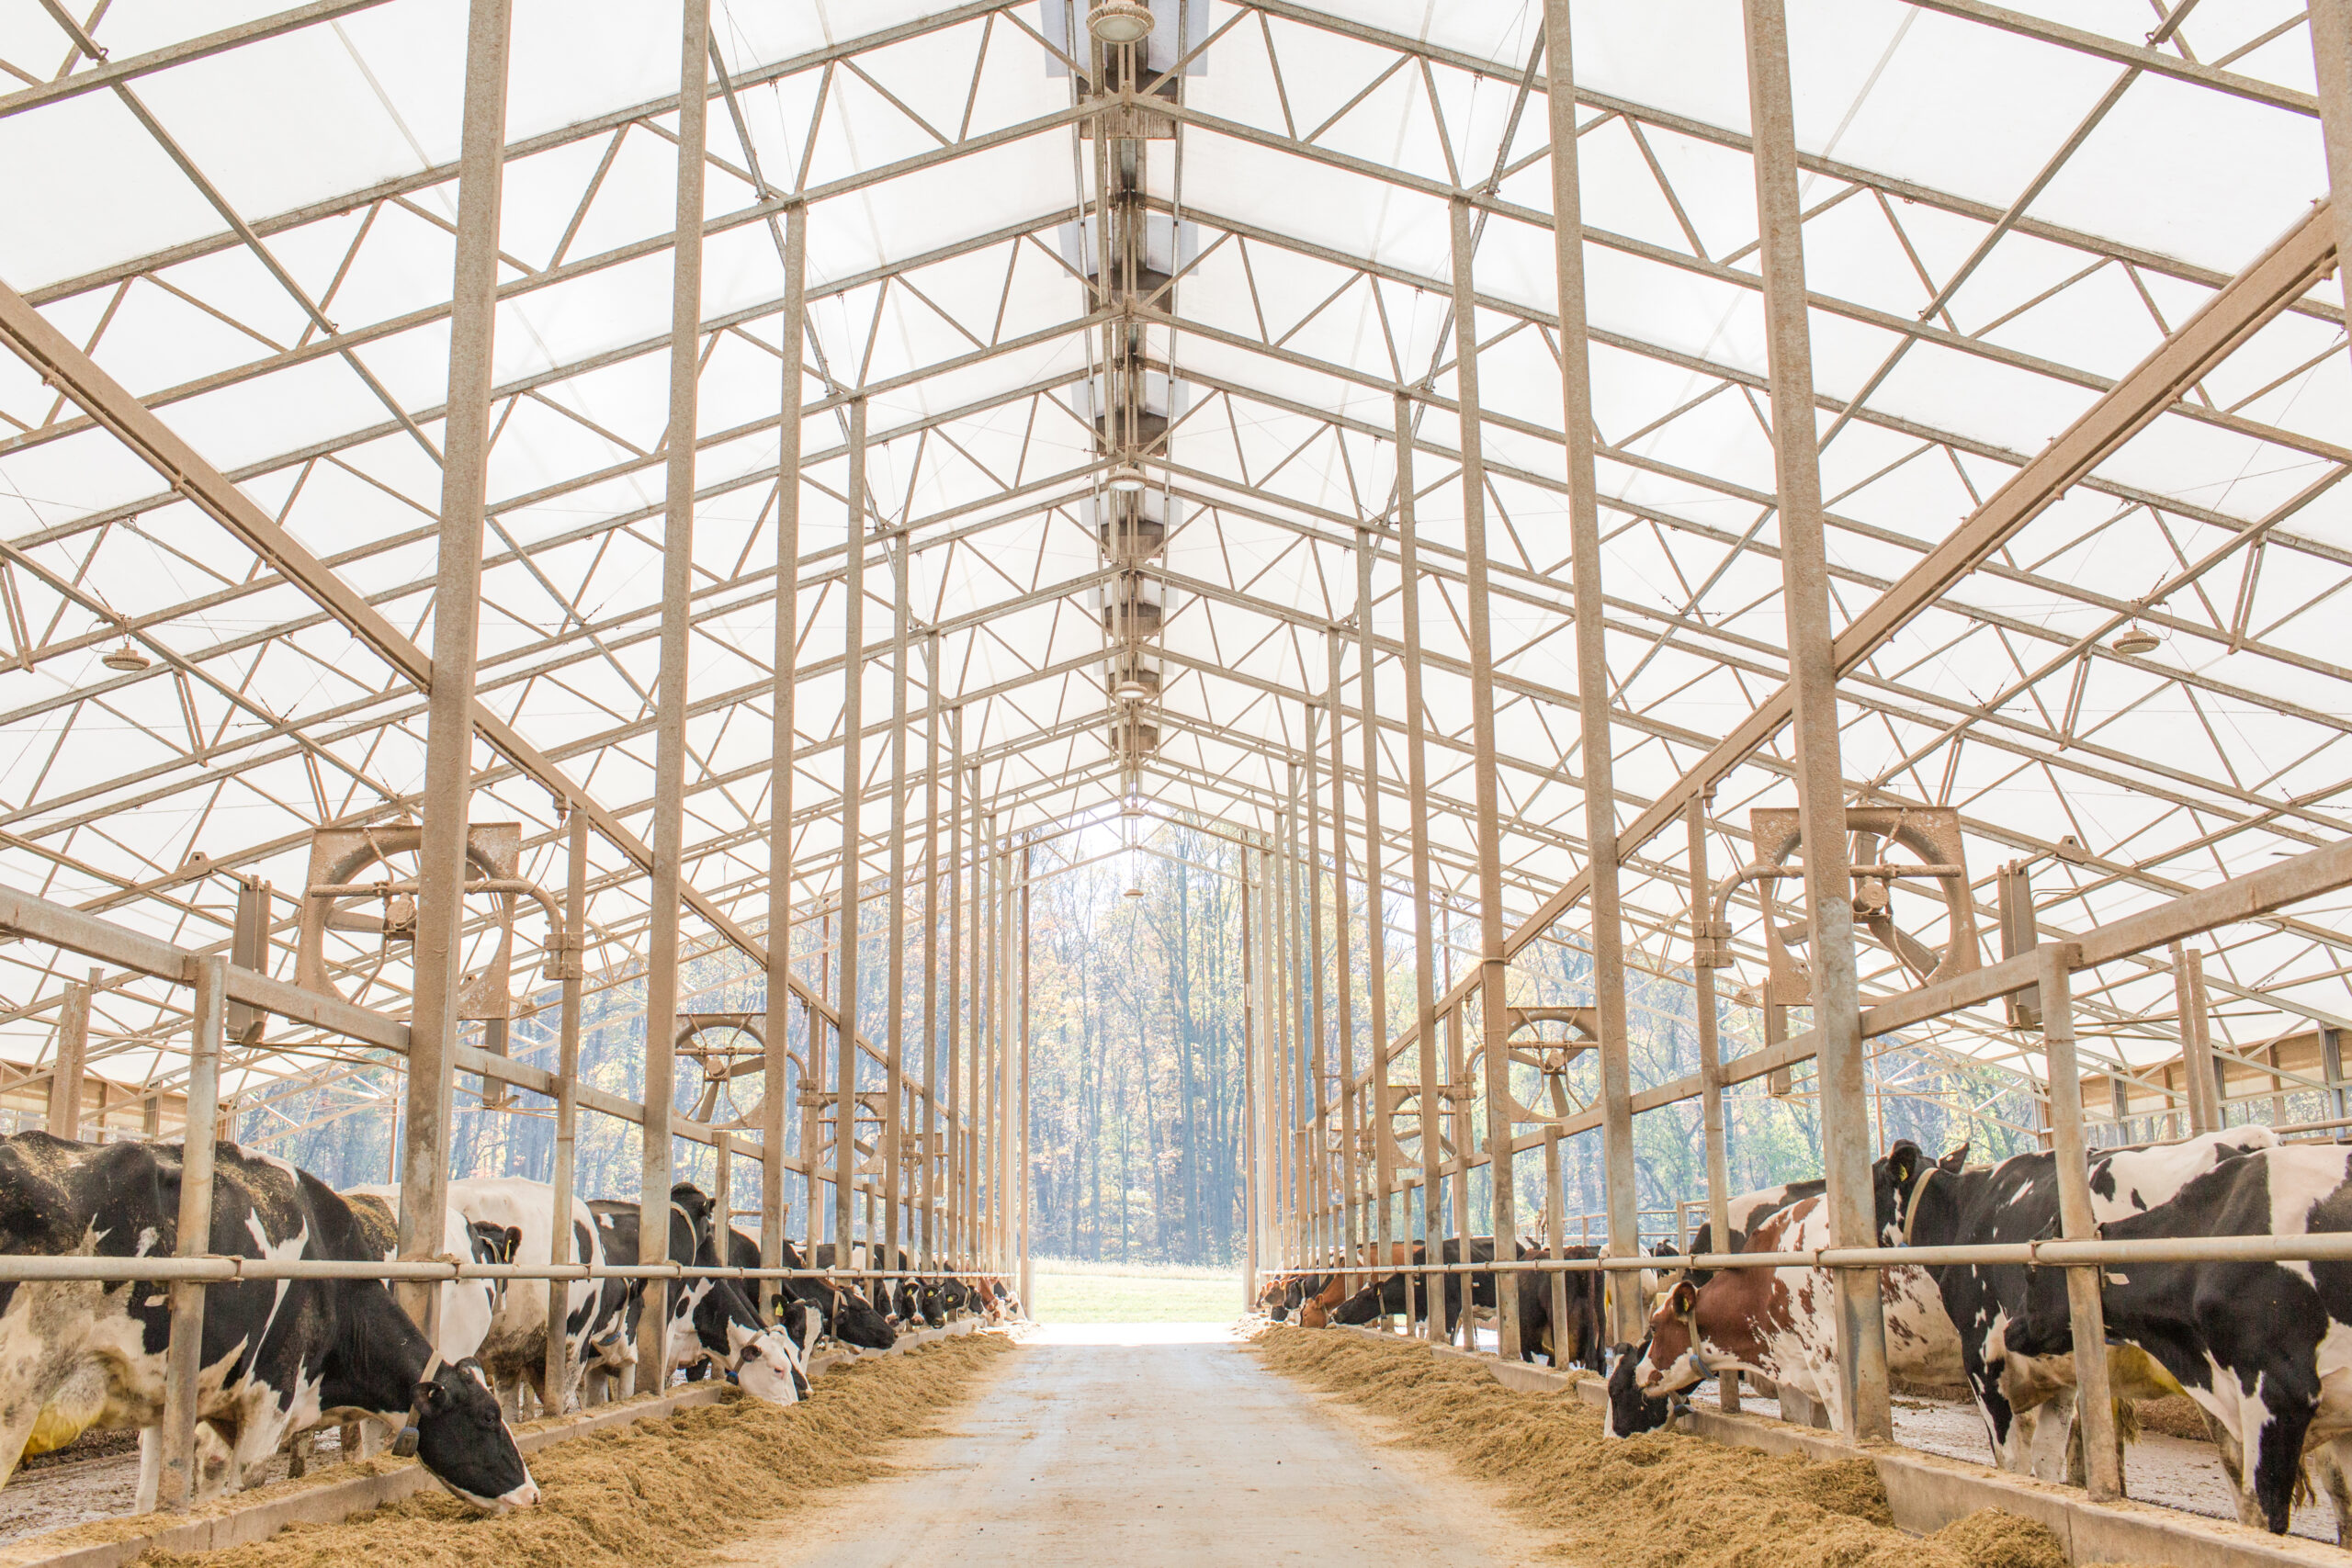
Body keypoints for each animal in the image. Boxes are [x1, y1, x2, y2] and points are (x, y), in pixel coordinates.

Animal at [0, 1133, 534, 1514]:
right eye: (489, 1417)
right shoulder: (269, 1400)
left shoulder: (192, 1399)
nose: (533, 1493)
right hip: (19, 1391)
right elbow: (241, 1482)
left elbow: (163, 1487)